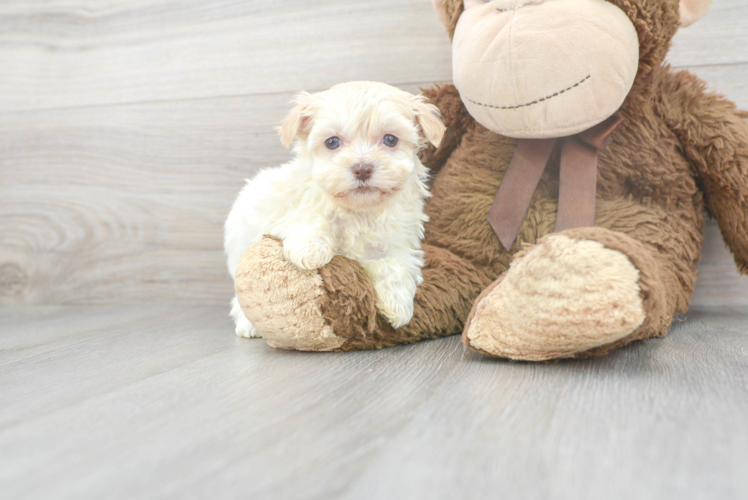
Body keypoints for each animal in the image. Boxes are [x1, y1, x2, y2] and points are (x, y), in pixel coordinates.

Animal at [222, 82, 444, 338]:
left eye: (390, 139)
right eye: (332, 142)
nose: (362, 169)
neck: (359, 211)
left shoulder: (398, 241)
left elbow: (395, 265)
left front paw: (397, 304)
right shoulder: (291, 210)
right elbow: (313, 218)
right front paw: (309, 249)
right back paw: (248, 324)